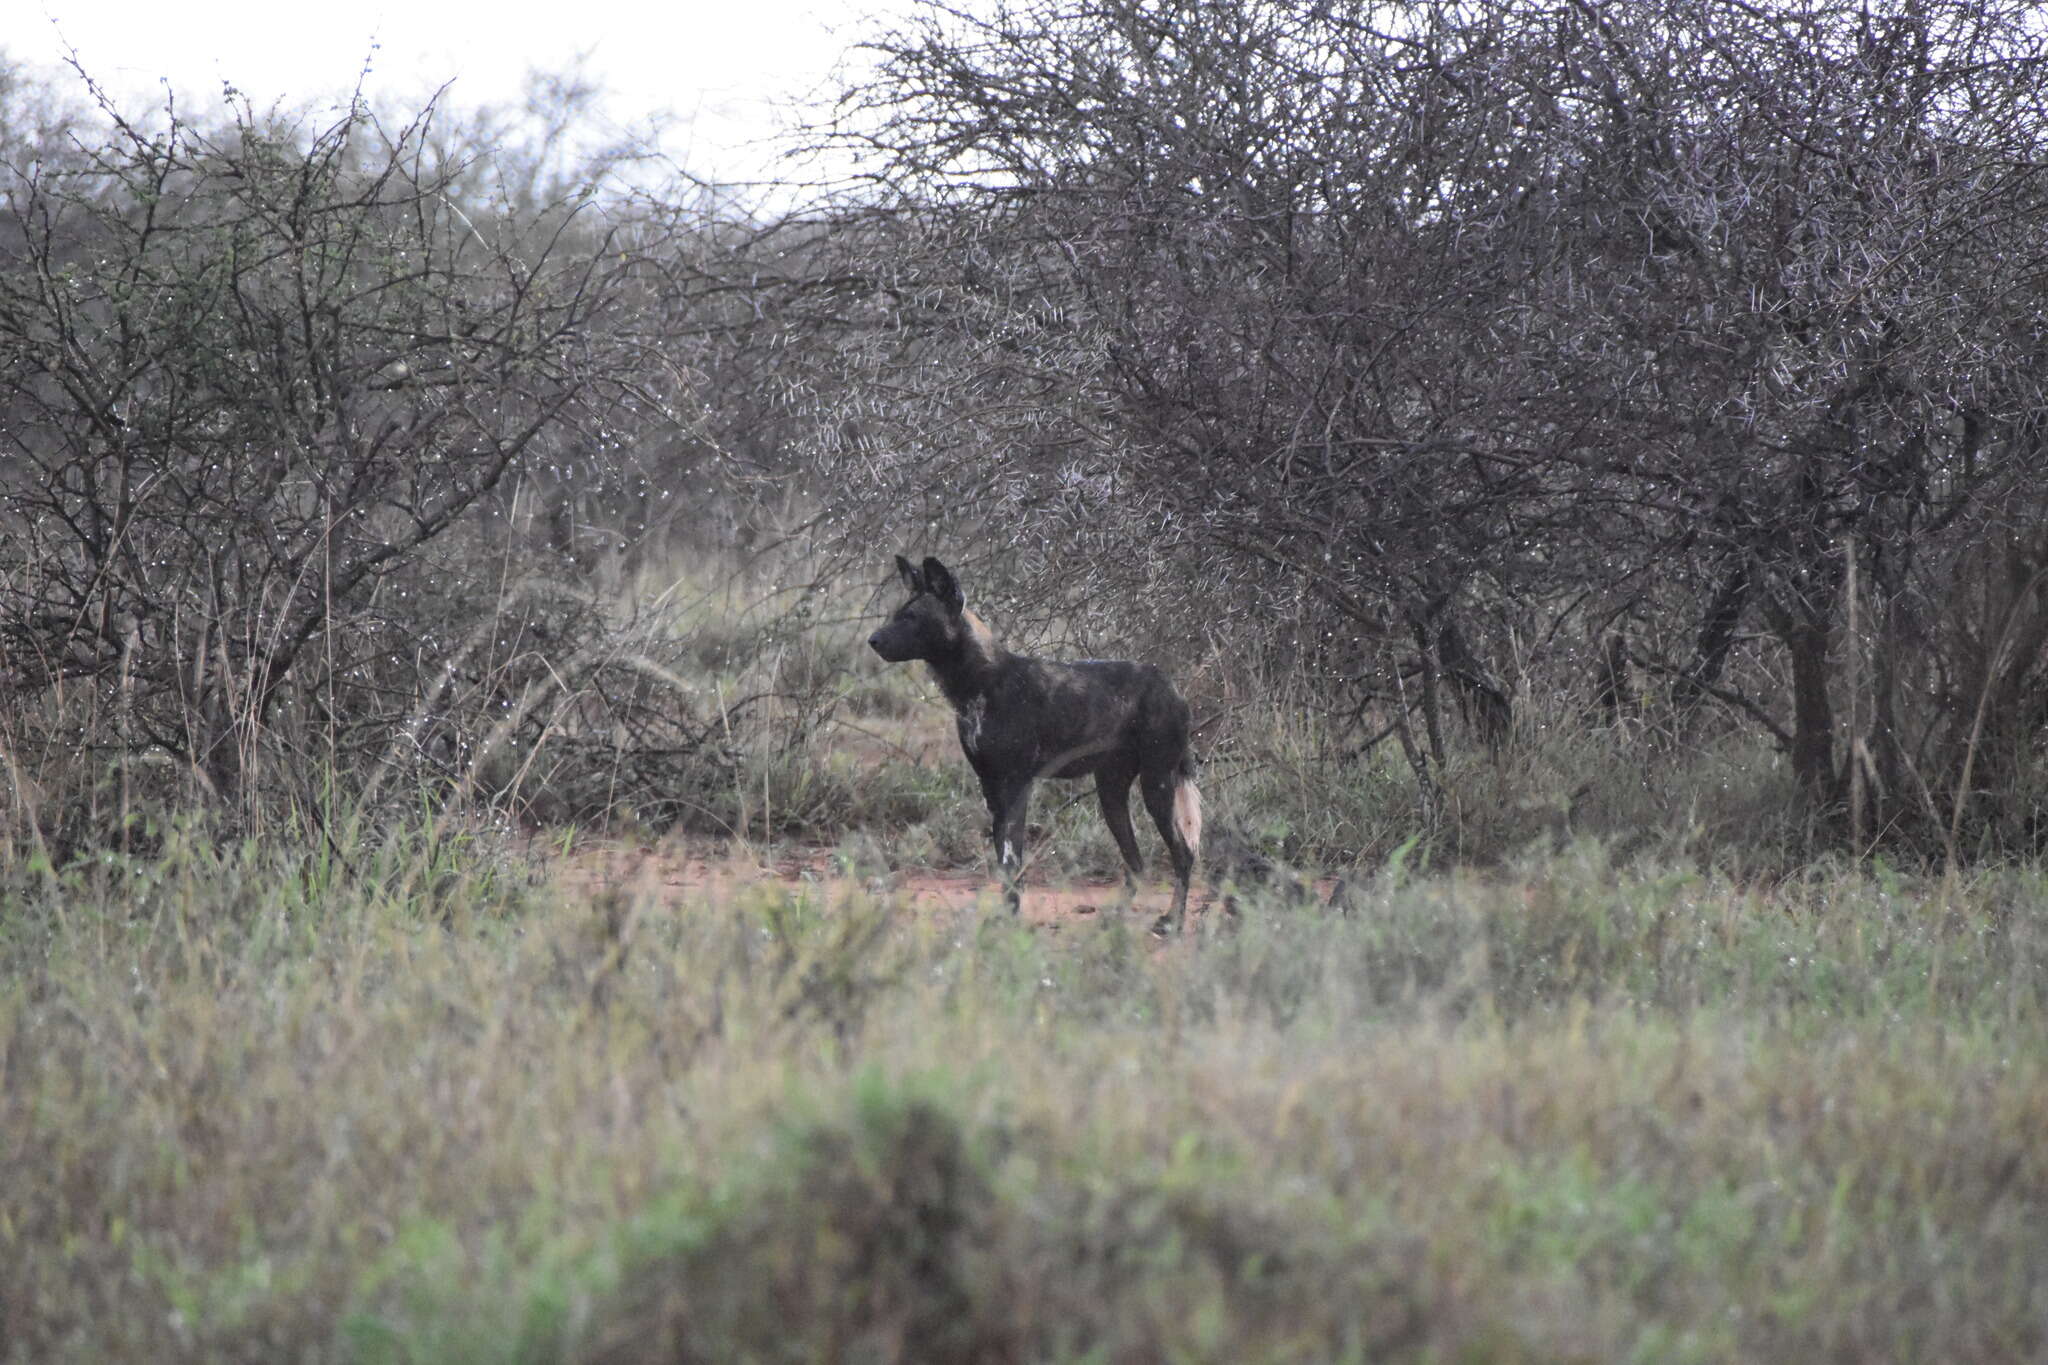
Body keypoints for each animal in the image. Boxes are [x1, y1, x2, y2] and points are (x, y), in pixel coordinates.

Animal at [868, 556, 1196, 929]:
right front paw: (1004, 917)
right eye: (897, 614)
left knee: (1184, 855)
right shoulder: (991, 787)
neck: (980, 684)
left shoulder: (1015, 786)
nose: (872, 640)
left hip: (1157, 786)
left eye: (912, 618)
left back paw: (1172, 921)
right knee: (1137, 864)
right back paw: (1113, 921)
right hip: (1111, 793)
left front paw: (1009, 920)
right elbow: (1005, 866)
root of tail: (1171, 685)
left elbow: (1012, 863)